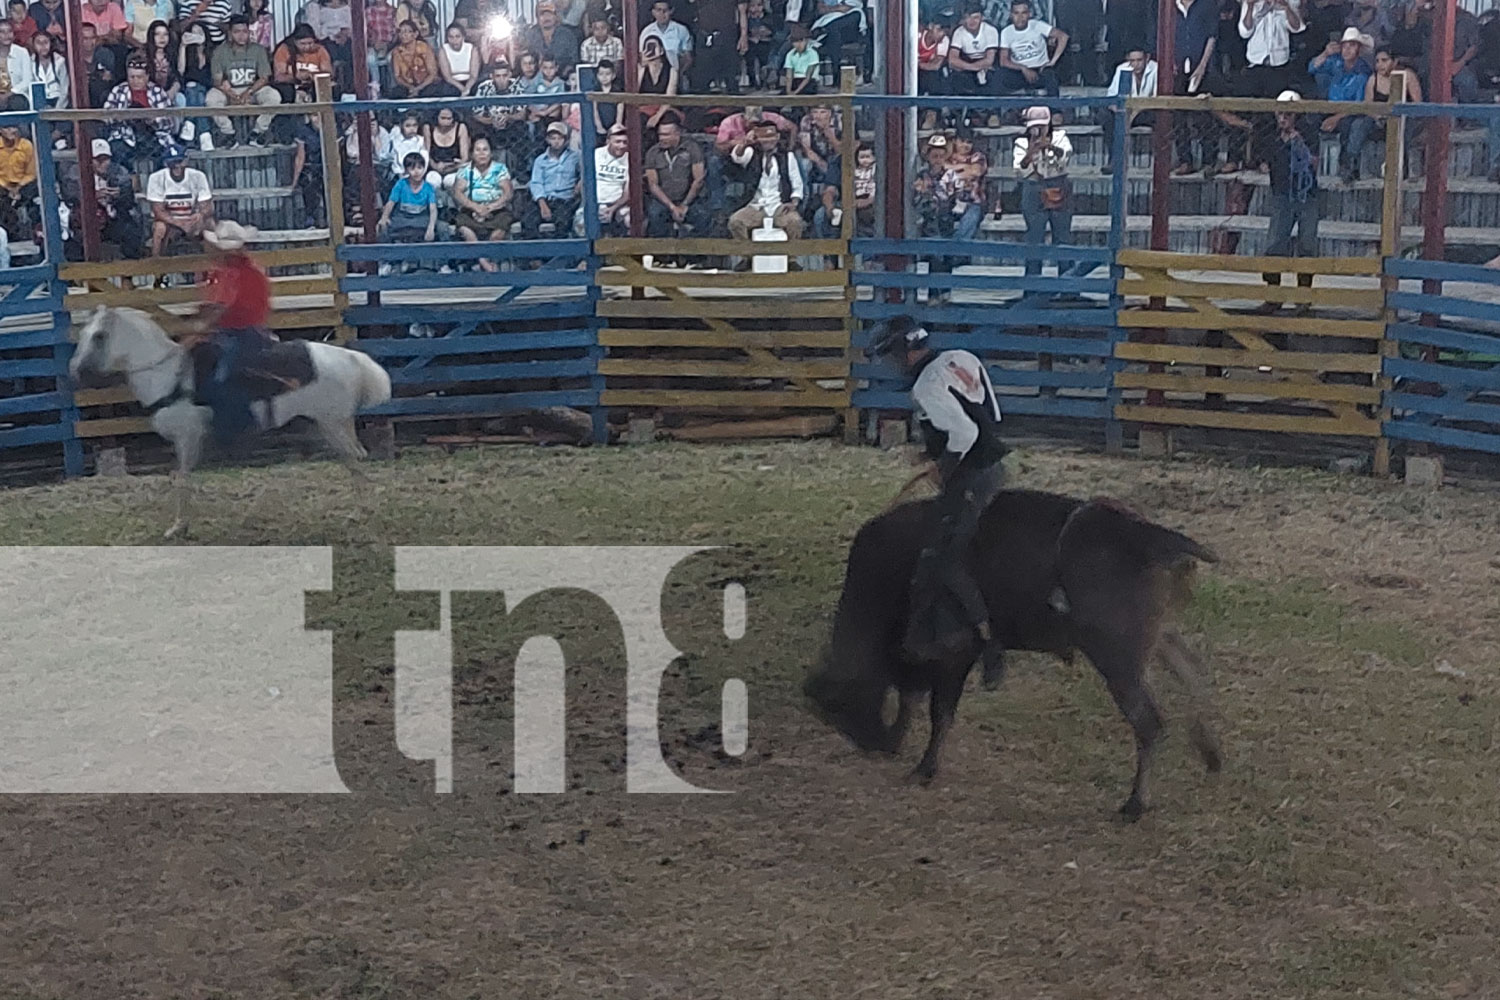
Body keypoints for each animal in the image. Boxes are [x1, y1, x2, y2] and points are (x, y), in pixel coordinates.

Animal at [69, 307, 393, 536]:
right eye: (85, 333)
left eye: (99, 336)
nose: (75, 370)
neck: (167, 375)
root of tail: (351, 357)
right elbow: (183, 477)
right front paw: (182, 524)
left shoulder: (187, 437)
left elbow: (182, 480)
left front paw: (177, 528)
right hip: (336, 425)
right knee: (355, 460)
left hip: (331, 425)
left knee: (354, 461)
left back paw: (363, 513)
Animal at [804, 488, 1224, 815]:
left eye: (845, 702)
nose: (875, 745)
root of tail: (1155, 539)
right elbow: (913, 697)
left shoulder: (955, 653)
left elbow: (939, 712)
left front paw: (924, 768)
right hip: (1154, 640)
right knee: (1192, 669)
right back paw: (1211, 753)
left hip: (1118, 659)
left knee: (1150, 722)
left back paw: (1135, 804)